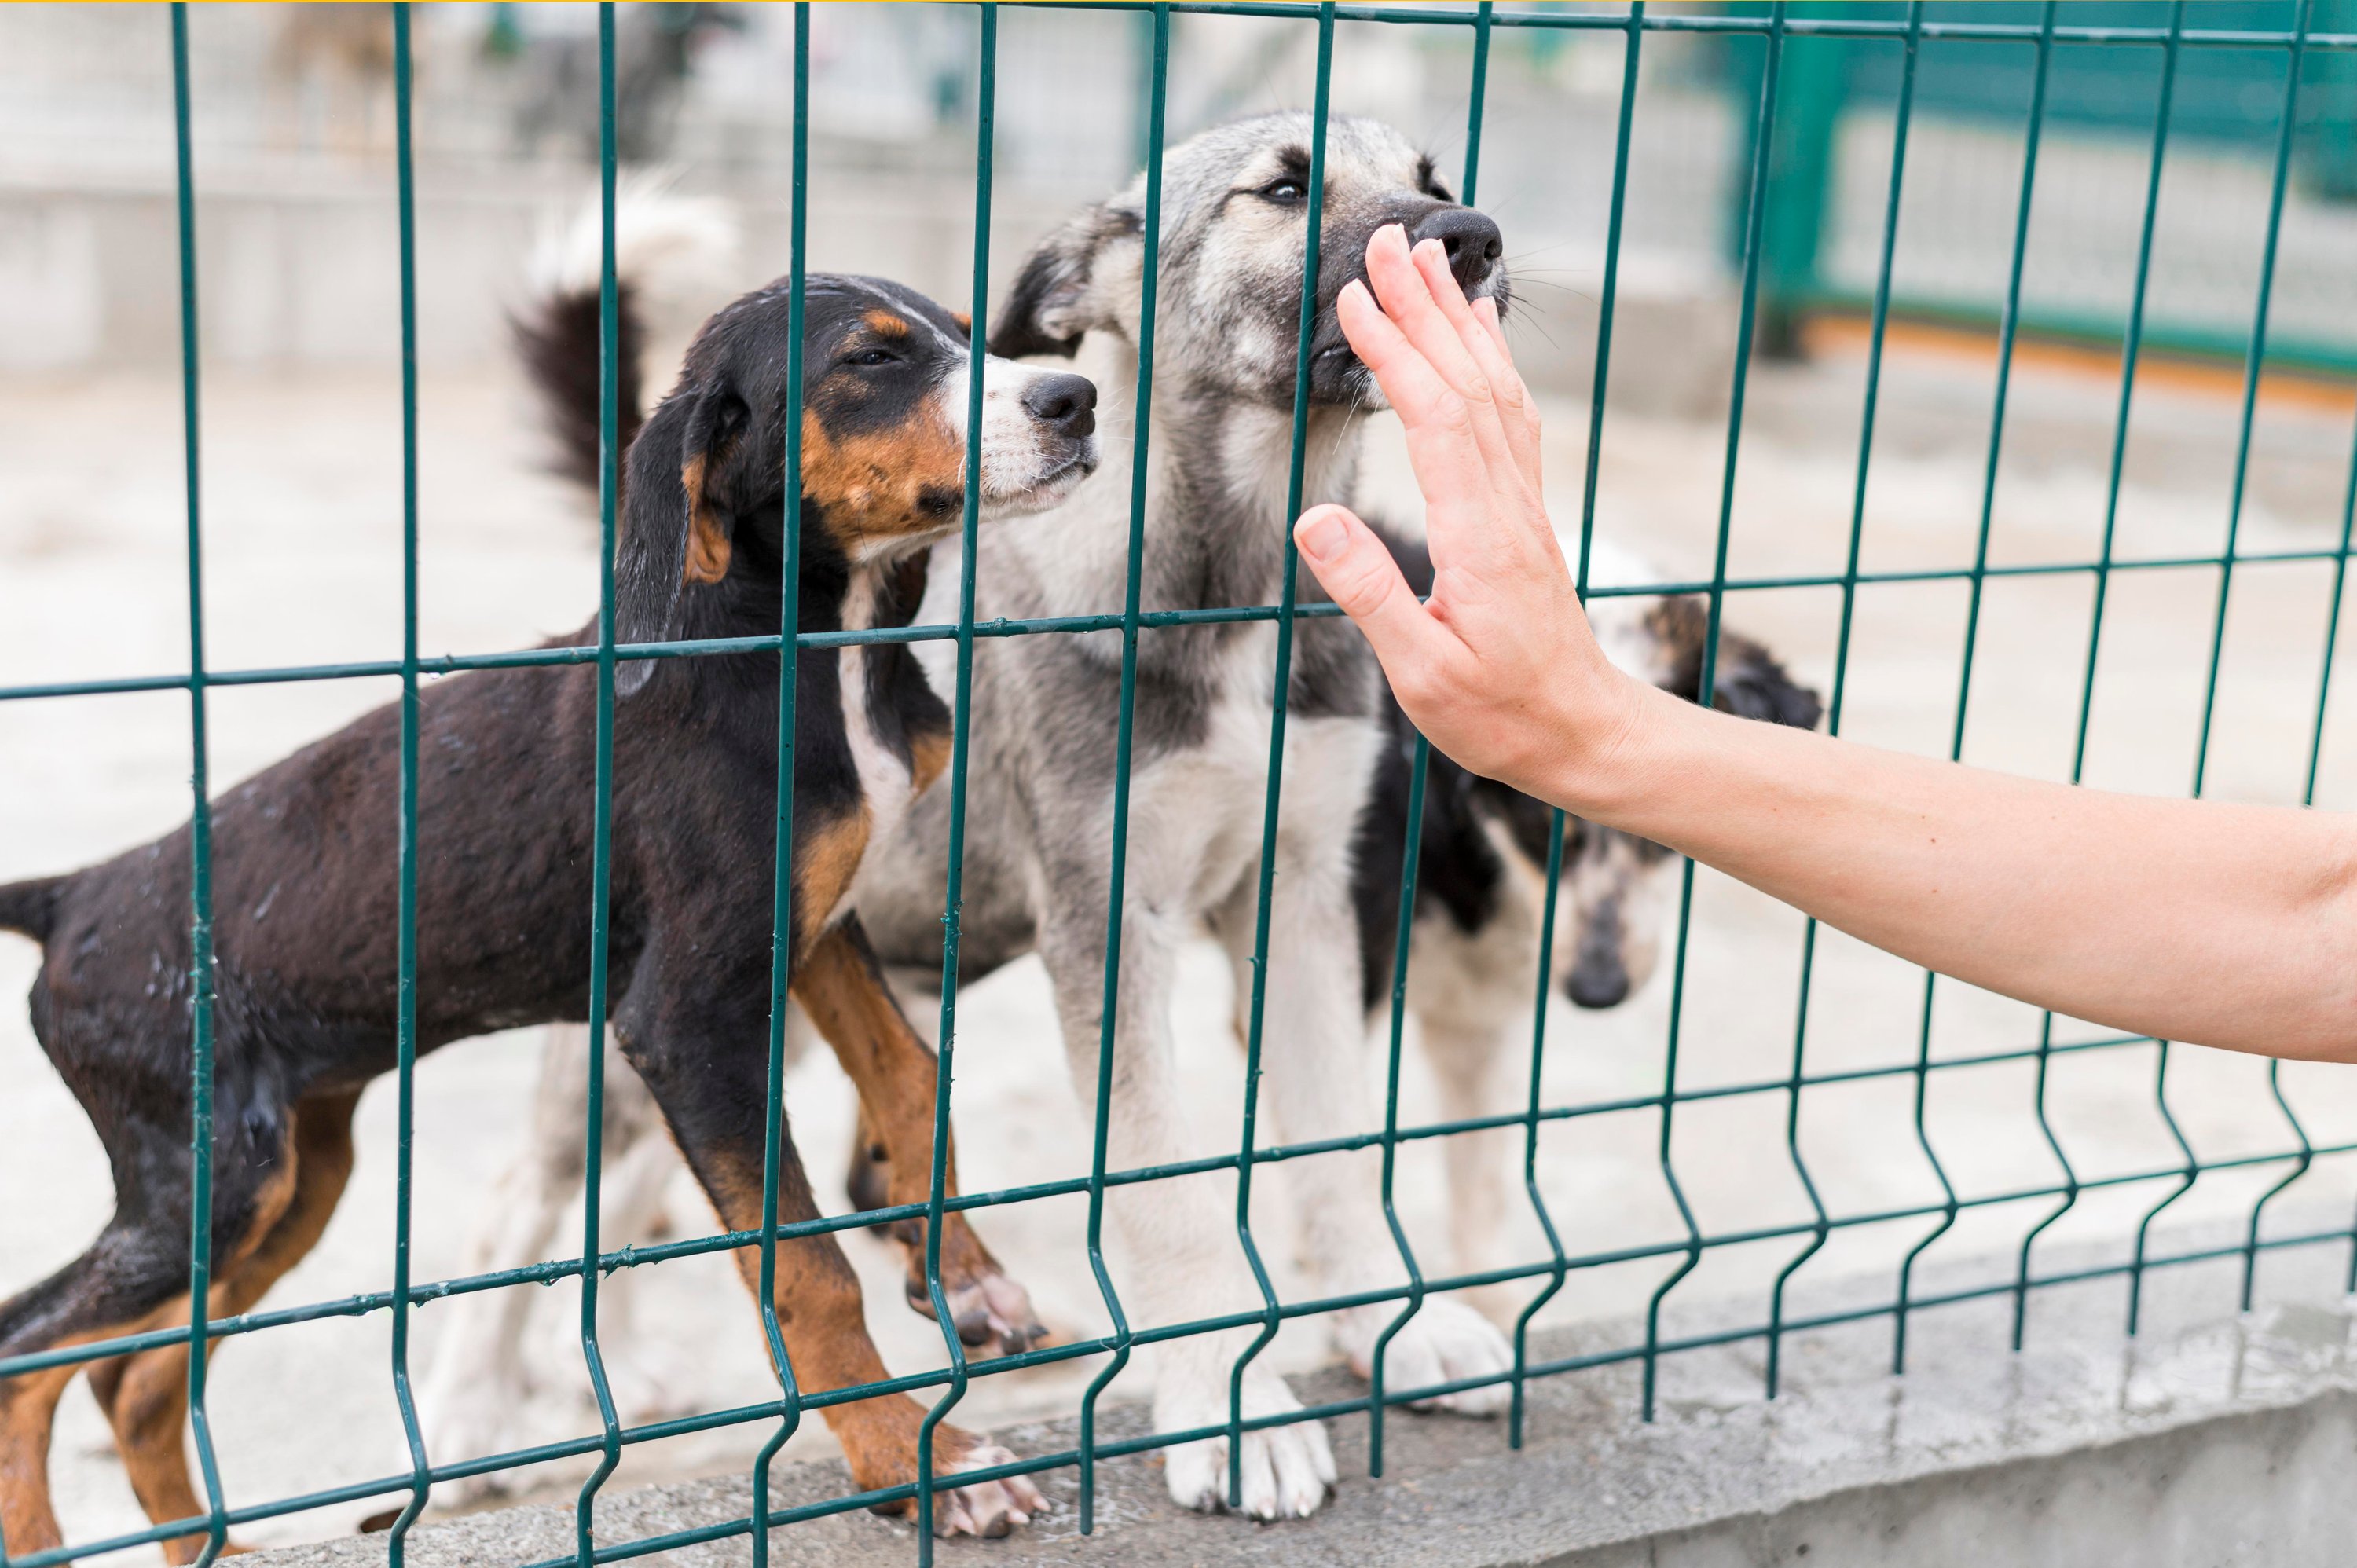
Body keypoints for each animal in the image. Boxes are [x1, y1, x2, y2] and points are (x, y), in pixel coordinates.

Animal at [0, 262, 1094, 1546]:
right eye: (871, 361)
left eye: (974, 335)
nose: (1076, 398)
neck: (794, 646)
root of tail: (73, 895)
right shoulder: (683, 1017)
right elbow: (806, 1267)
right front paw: (915, 1458)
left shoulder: (813, 925)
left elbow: (915, 1079)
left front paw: (966, 1281)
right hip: (207, 1178)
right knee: (29, 1347)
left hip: (282, 1185)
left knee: (132, 1377)